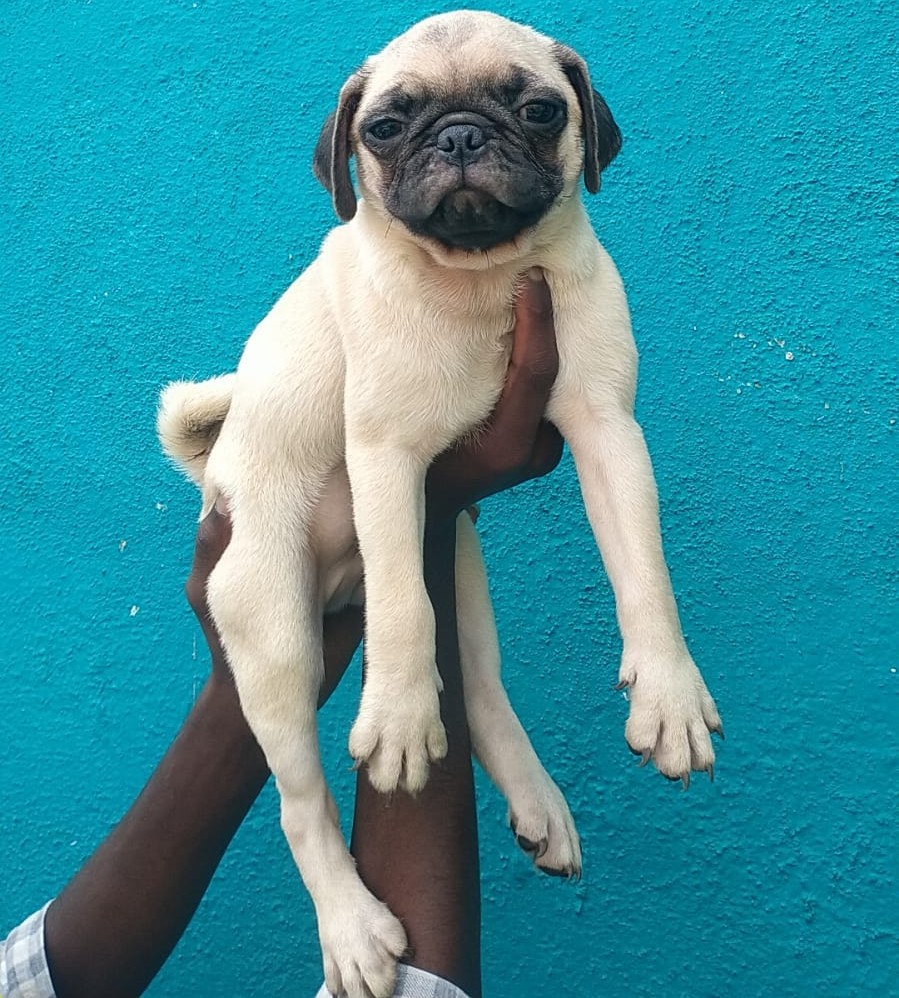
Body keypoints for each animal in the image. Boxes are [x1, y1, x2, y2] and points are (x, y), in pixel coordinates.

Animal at [160, 9, 724, 998]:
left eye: (539, 110)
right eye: (385, 127)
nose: (460, 136)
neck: (478, 277)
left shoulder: (607, 429)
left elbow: (645, 574)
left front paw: (668, 692)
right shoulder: (387, 457)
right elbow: (398, 607)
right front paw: (394, 717)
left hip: (459, 563)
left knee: (481, 686)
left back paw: (537, 801)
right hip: (271, 629)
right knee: (300, 801)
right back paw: (351, 929)